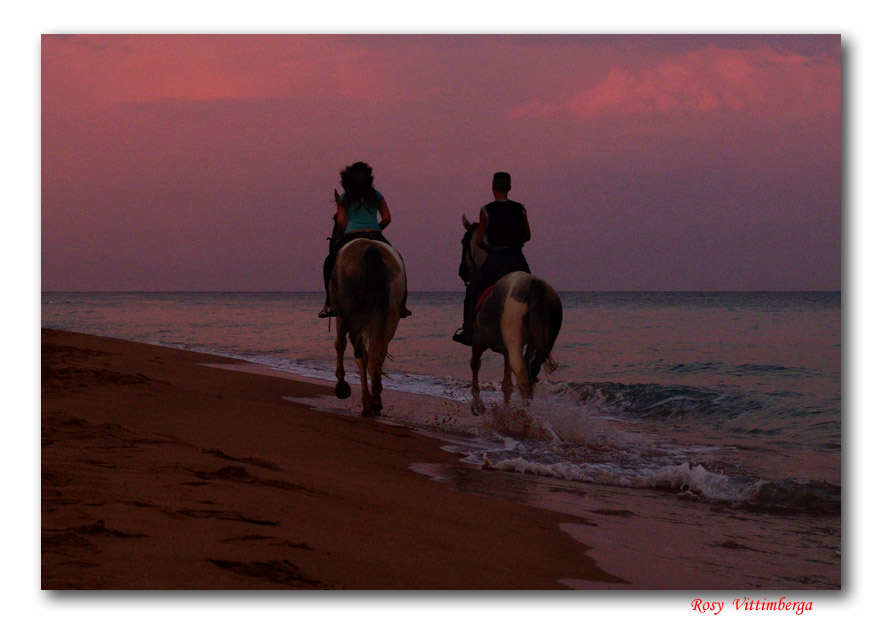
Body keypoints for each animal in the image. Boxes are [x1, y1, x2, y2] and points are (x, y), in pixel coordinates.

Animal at [328, 239, 408, 420]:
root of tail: (370, 249)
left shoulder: (341, 315)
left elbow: (339, 344)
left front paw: (341, 385)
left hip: (353, 315)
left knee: (360, 355)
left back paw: (367, 404)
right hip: (391, 316)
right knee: (377, 353)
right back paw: (376, 400)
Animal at [460, 214, 564, 414]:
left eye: (463, 242)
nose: (462, 272)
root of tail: (534, 285)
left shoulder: (478, 340)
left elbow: (475, 364)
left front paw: (478, 404)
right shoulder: (505, 351)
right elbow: (506, 384)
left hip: (514, 344)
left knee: (523, 376)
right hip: (542, 342)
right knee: (531, 374)